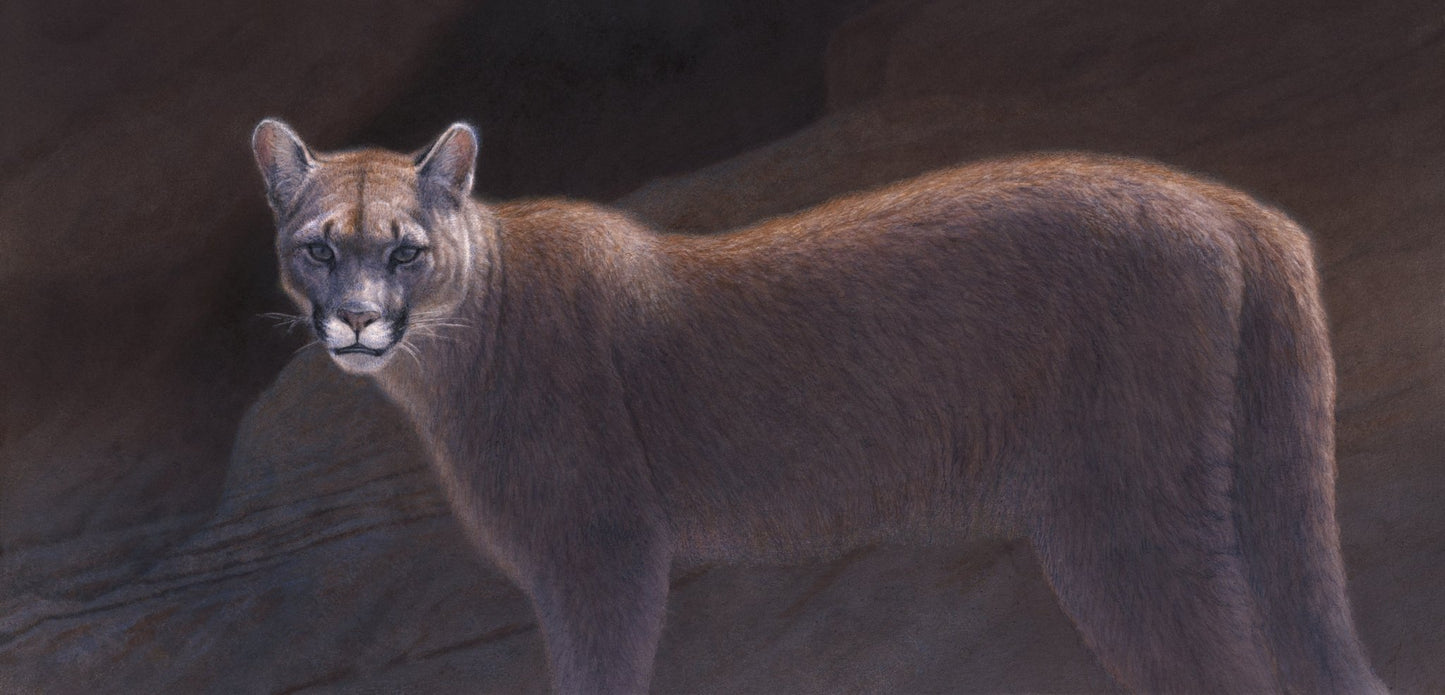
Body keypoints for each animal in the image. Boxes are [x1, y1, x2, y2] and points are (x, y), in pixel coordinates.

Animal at [251, 118, 1384, 694]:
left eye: (403, 248)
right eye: (319, 247)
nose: (356, 319)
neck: (455, 344)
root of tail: (1228, 203)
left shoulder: (597, 549)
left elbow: (597, 666)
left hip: (1123, 510)